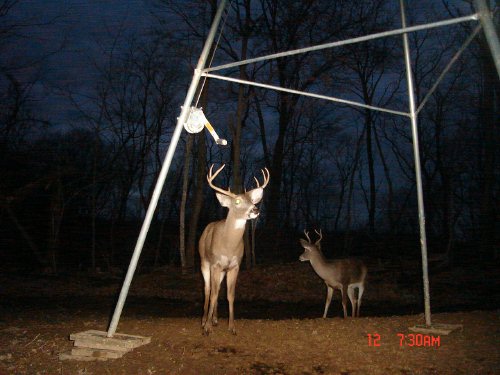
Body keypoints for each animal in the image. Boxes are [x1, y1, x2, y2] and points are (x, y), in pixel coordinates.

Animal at [199, 164, 270, 334]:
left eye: (251, 200)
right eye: (237, 201)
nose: (255, 210)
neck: (228, 246)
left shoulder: (234, 266)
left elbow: (230, 295)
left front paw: (232, 327)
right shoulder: (216, 264)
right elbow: (213, 293)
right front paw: (207, 328)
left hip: (222, 271)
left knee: (217, 290)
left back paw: (215, 319)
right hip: (204, 262)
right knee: (207, 289)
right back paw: (204, 320)